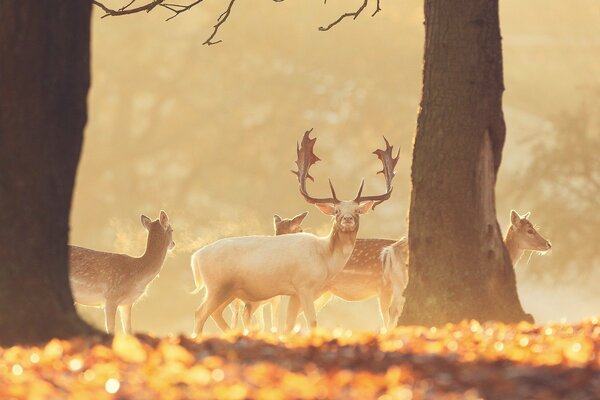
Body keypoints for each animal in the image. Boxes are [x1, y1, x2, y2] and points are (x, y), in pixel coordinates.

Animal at [191, 130, 398, 334]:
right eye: (336, 211)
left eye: (357, 211)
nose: (347, 219)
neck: (325, 258)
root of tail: (196, 257)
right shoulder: (304, 285)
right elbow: (312, 321)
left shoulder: (296, 293)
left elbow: (289, 324)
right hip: (218, 286)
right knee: (200, 312)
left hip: (230, 290)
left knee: (216, 313)